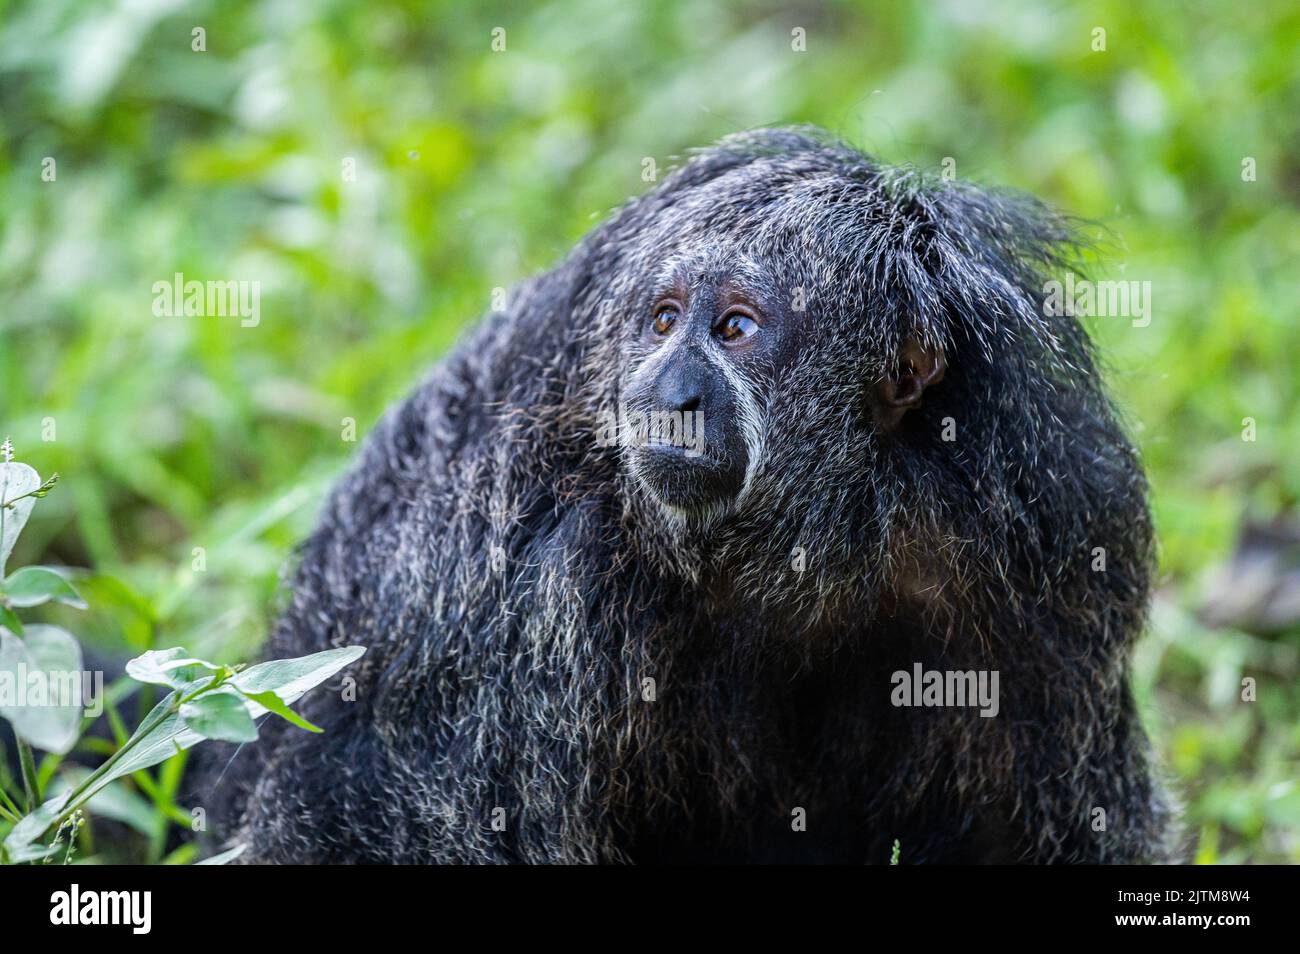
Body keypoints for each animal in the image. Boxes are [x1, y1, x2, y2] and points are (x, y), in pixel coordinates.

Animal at [205, 127, 1180, 868]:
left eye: (736, 328)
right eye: (665, 321)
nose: (666, 393)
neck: (829, 526)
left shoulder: (1050, 538)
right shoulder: (547, 583)